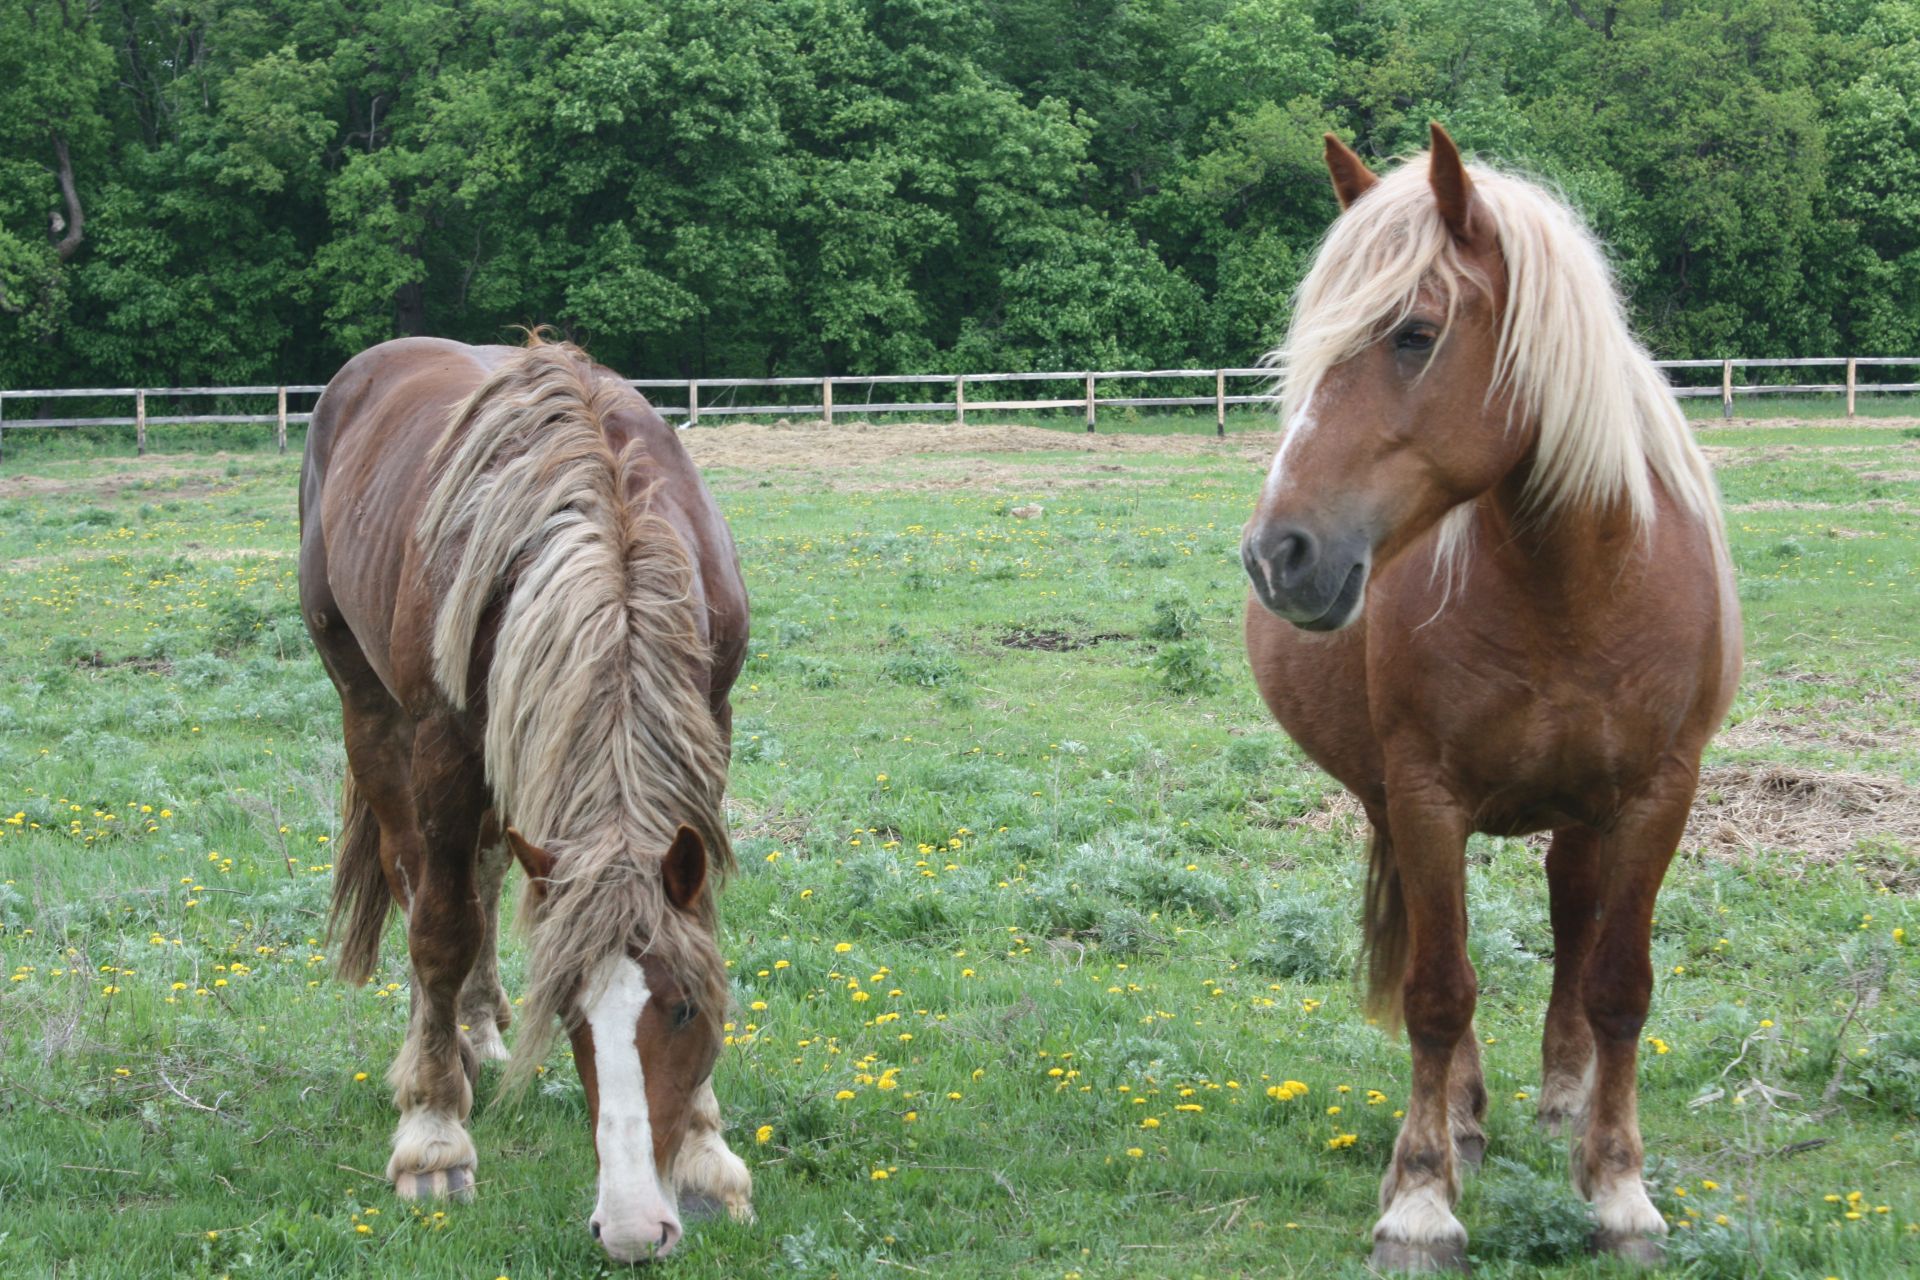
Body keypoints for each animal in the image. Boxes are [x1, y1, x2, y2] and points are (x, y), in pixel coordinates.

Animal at [297, 335, 748, 1266]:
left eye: (684, 1009)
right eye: (569, 1013)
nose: (630, 1230)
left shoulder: (712, 722)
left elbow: (697, 928)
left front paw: (705, 1152)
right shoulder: (443, 744)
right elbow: (441, 932)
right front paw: (433, 1140)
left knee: (488, 867)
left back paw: (480, 1030)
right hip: (369, 706)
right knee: (420, 879)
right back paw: (442, 1063)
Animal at [1244, 122, 1743, 1274]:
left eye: (1414, 334)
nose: (1278, 556)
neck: (1575, 583)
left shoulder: (1660, 794)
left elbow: (1618, 983)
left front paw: (1620, 1189)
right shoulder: (1427, 795)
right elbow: (1438, 989)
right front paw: (1423, 1197)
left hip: (1586, 807)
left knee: (1572, 914)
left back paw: (1564, 1101)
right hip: (1400, 801)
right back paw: (1464, 1119)